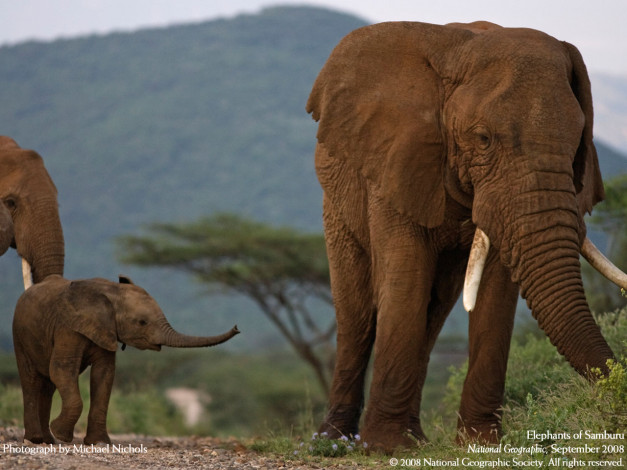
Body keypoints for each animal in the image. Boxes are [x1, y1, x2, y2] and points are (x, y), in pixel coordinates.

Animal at [15, 274, 240, 442]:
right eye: (142, 322)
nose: (237, 328)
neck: (112, 292)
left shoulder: (106, 330)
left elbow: (104, 374)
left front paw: (99, 443)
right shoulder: (68, 328)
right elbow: (63, 369)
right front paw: (62, 434)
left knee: (48, 384)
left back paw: (47, 439)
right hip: (20, 336)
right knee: (32, 380)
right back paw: (37, 439)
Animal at [306, 21, 627, 452]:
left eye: (578, 142)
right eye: (483, 139)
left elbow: (495, 292)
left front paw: (481, 444)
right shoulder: (395, 161)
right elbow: (405, 278)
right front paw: (387, 447)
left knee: (432, 313)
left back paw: (416, 439)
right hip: (337, 200)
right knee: (357, 316)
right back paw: (334, 441)